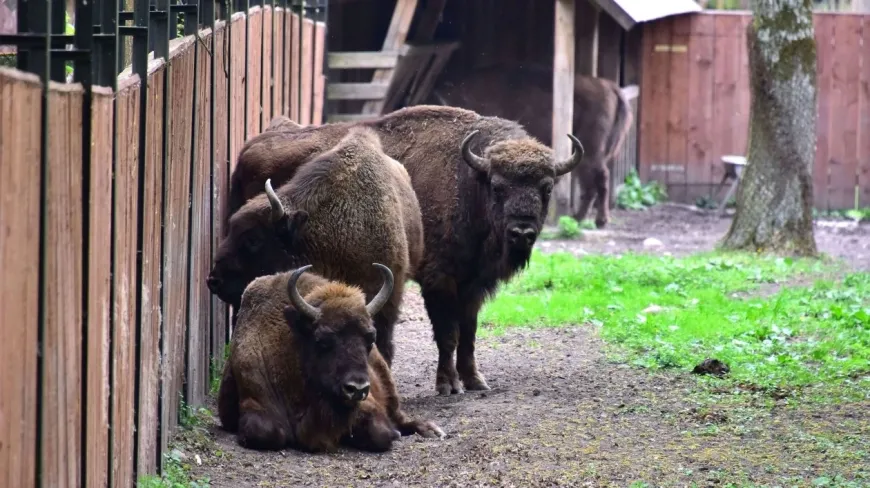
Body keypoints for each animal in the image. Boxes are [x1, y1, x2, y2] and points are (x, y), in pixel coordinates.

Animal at [217, 264, 446, 452]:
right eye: (322, 340)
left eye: (370, 338)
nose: (357, 389)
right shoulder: (255, 400)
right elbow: (268, 433)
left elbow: (380, 433)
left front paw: (392, 434)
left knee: (400, 416)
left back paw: (431, 430)